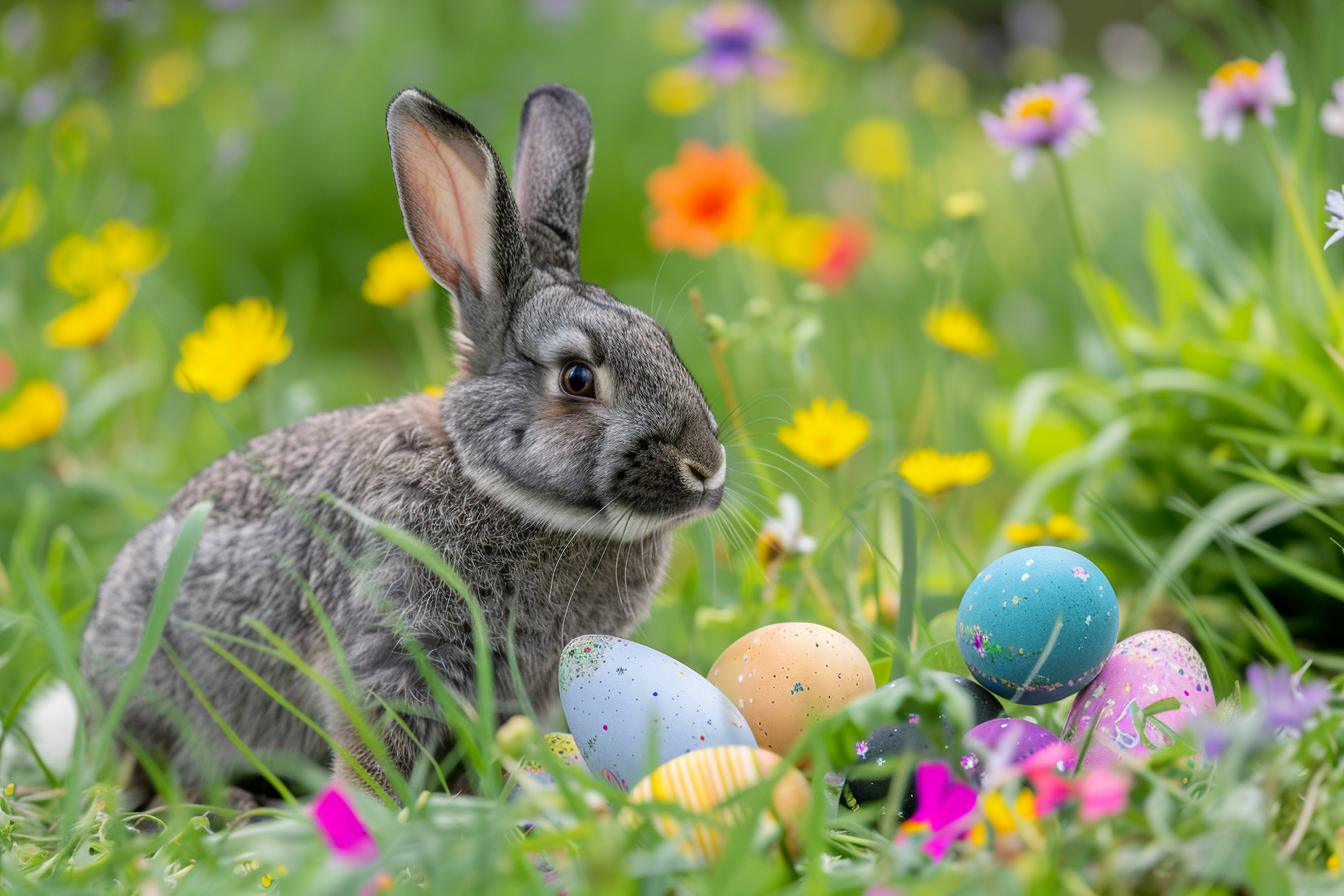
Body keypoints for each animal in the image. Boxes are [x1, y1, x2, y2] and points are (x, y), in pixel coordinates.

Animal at [80, 83, 726, 801]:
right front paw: (379, 812)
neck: (492, 483)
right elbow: (374, 744)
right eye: (578, 378)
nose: (707, 469)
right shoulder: (391, 647)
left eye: (667, 345)